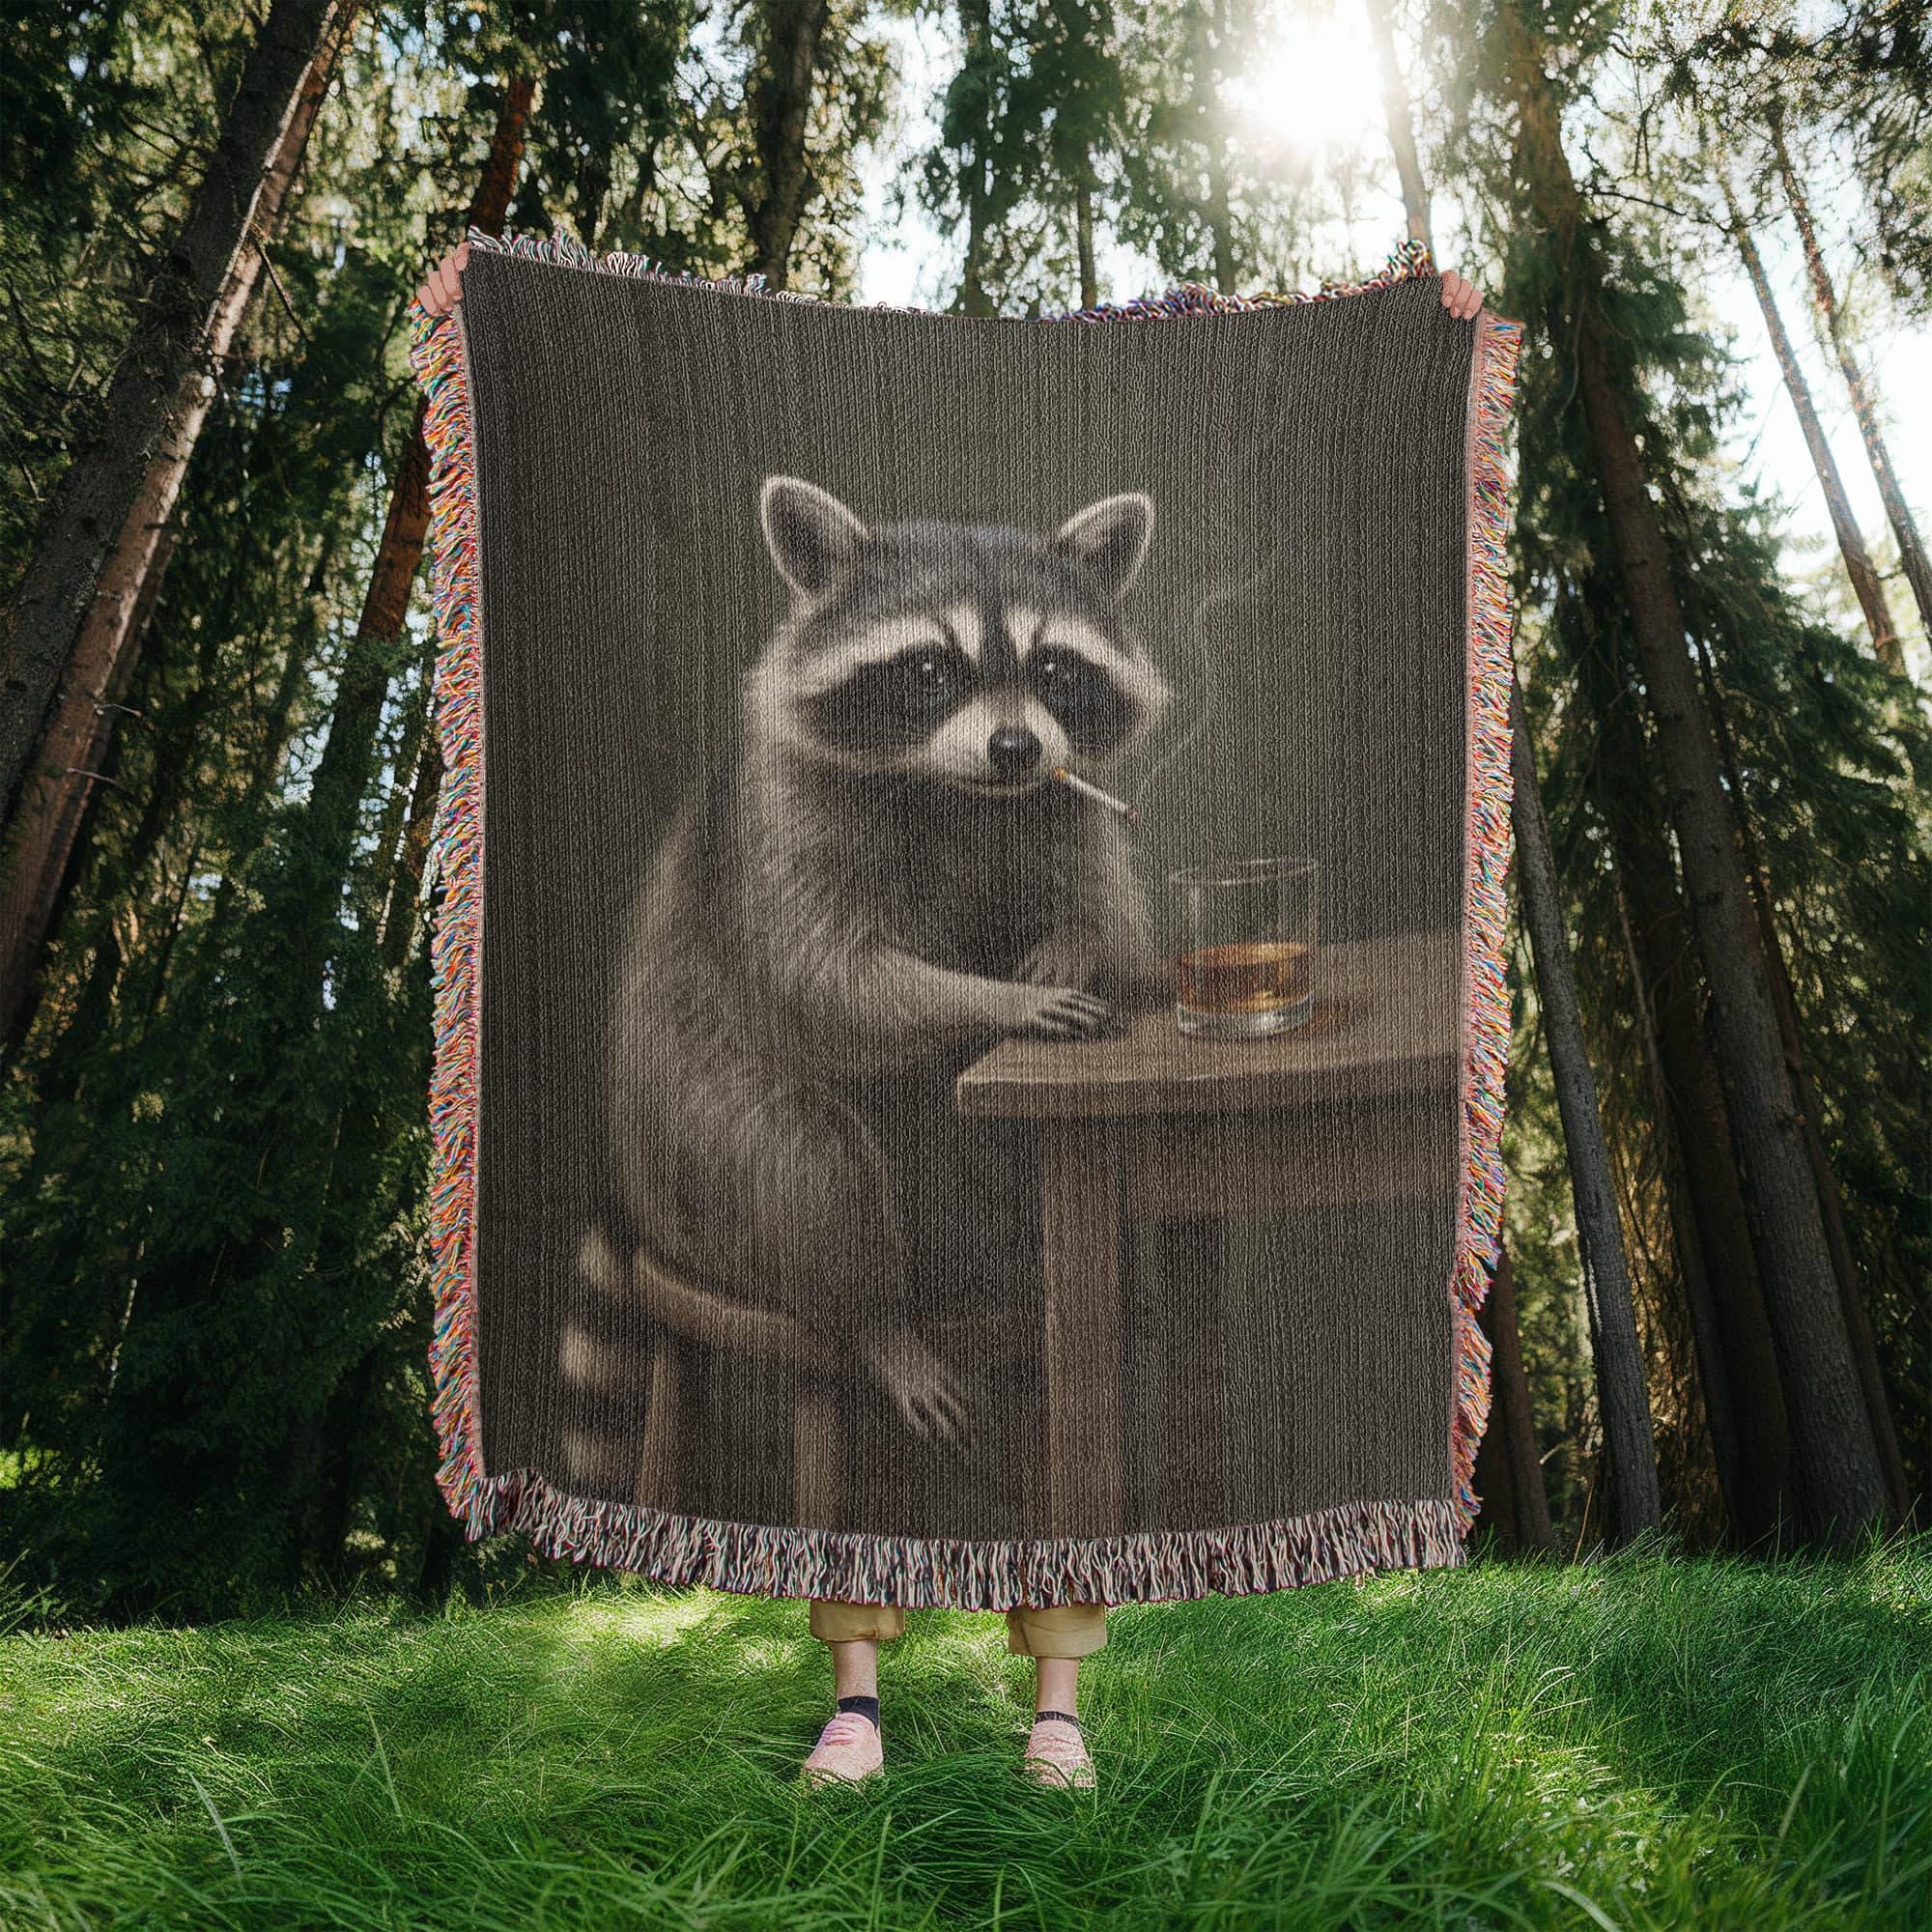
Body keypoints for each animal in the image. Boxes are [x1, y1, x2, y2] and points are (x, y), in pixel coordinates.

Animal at [571, 476, 1170, 1487]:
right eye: (929, 669)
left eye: (1054, 668)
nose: (1015, 747)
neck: (955, 791)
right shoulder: (783, 821)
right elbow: (828, 985)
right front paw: (998, 998)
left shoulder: (1066, 805)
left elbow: (1122, 932)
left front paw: (1072, 948)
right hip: (696, 1140)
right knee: (807, 1165)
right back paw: (877, 1323)